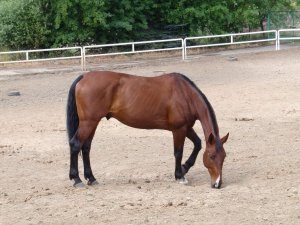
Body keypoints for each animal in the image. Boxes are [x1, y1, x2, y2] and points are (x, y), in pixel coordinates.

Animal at [66, 71, 230, 188]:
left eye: (224, 157)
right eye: (212, 156)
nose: (217, 184)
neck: (185, 94)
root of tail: (84, 76)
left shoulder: (187, 128)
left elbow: (198, 144)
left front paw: (184, 168)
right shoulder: (179, 129)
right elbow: (178, 152)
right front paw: (179, 175)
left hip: (93, 123)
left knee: (86, 147)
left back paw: (91, 178)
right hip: (88, 122)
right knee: (75, 144)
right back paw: (77, 179)